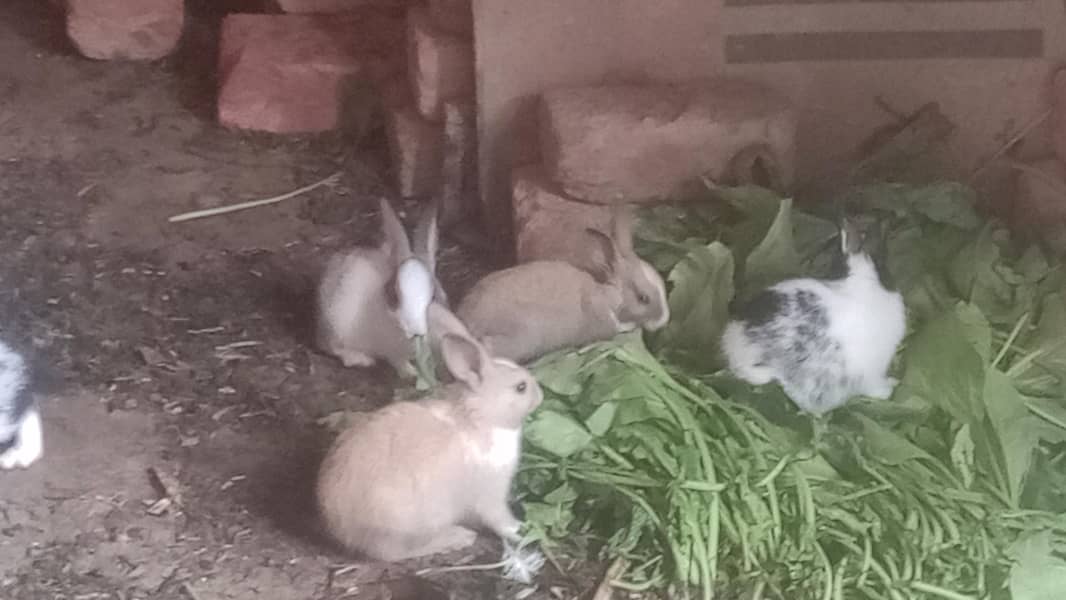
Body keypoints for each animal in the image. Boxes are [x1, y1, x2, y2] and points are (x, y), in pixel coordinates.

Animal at [315, 302, 543, 561]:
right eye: (521, 388)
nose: (540, 396)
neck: (481, 418)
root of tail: (341, 528)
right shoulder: (490, 493)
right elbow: (499, 518)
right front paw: (521, 530)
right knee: (400, 552)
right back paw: (459, 537)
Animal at [316, 198, 447, 377]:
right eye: (394, 295)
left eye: (434, 295)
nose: (415, 331)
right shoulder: (392, 353)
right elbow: (399, 363)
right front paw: (411, 374)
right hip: (336, 322)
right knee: (334, 347)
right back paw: (360, 359)